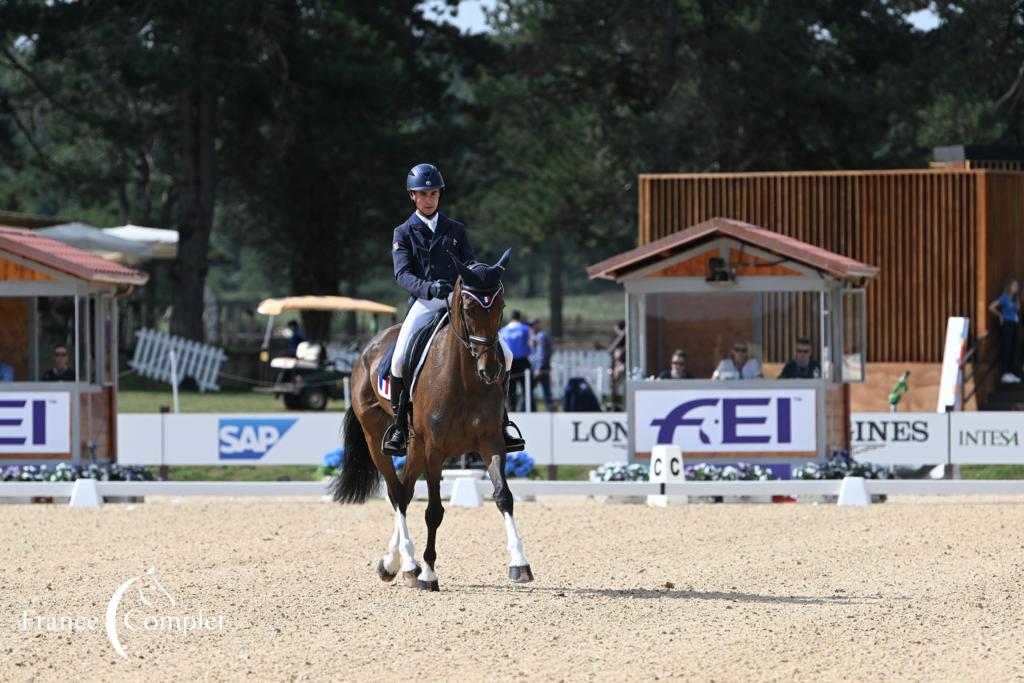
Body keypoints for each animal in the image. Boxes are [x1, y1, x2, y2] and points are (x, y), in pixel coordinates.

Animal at [329, 248, 536, 589]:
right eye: (468, 308)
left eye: (501, 307)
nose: (491, 370)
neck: (465, 378)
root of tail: (366, 351)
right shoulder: (435, 450)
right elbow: (434, 511)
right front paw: (429, 572)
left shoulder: (491, 441)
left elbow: (504, 497)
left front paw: (520, 563)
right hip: (378, 439)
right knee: (396, 493)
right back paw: (411, 565)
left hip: (414, 444)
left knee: (404, 491)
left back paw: (392, 563)